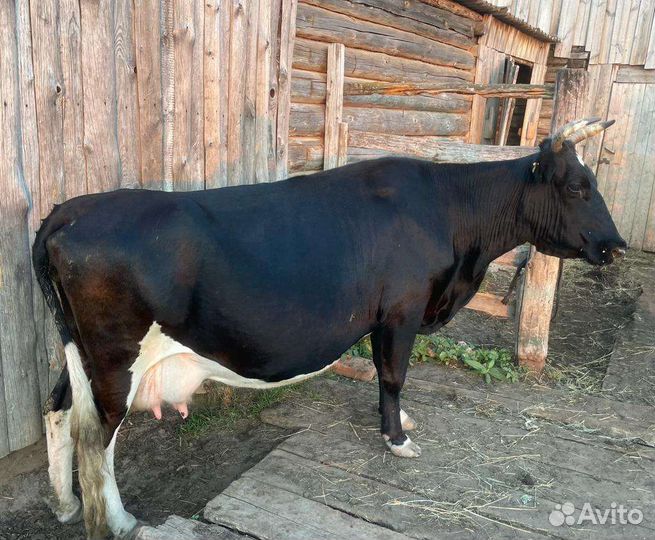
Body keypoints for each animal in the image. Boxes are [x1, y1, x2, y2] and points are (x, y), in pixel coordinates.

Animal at [33, 119, 625, 538]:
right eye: (577, 186)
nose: (615, 246)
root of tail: (68, 211)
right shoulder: (403, 311)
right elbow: (393, 374)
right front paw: (398, 440)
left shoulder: (386, 317)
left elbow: (386, 375)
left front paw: (398, 423)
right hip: (115, 359)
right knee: (96, 438)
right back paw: (118, 521)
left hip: (77, 352)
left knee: (57, 410)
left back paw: (64, 505)